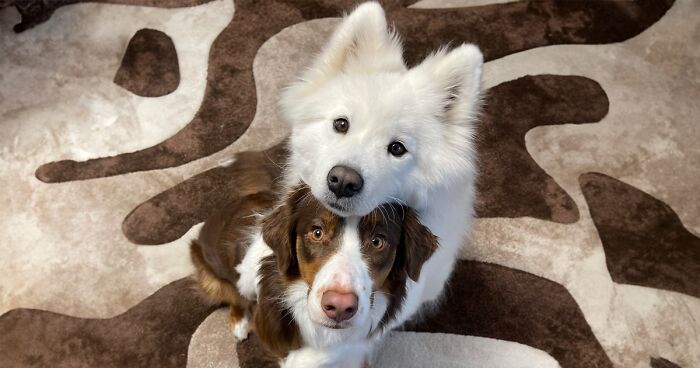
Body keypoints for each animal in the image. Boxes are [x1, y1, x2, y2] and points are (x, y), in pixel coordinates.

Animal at [191, 185, 438, 366]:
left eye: (377, 241)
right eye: (317, 232)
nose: (339, 307)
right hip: (210, 275)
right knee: (234, 294)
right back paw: (239, 322)